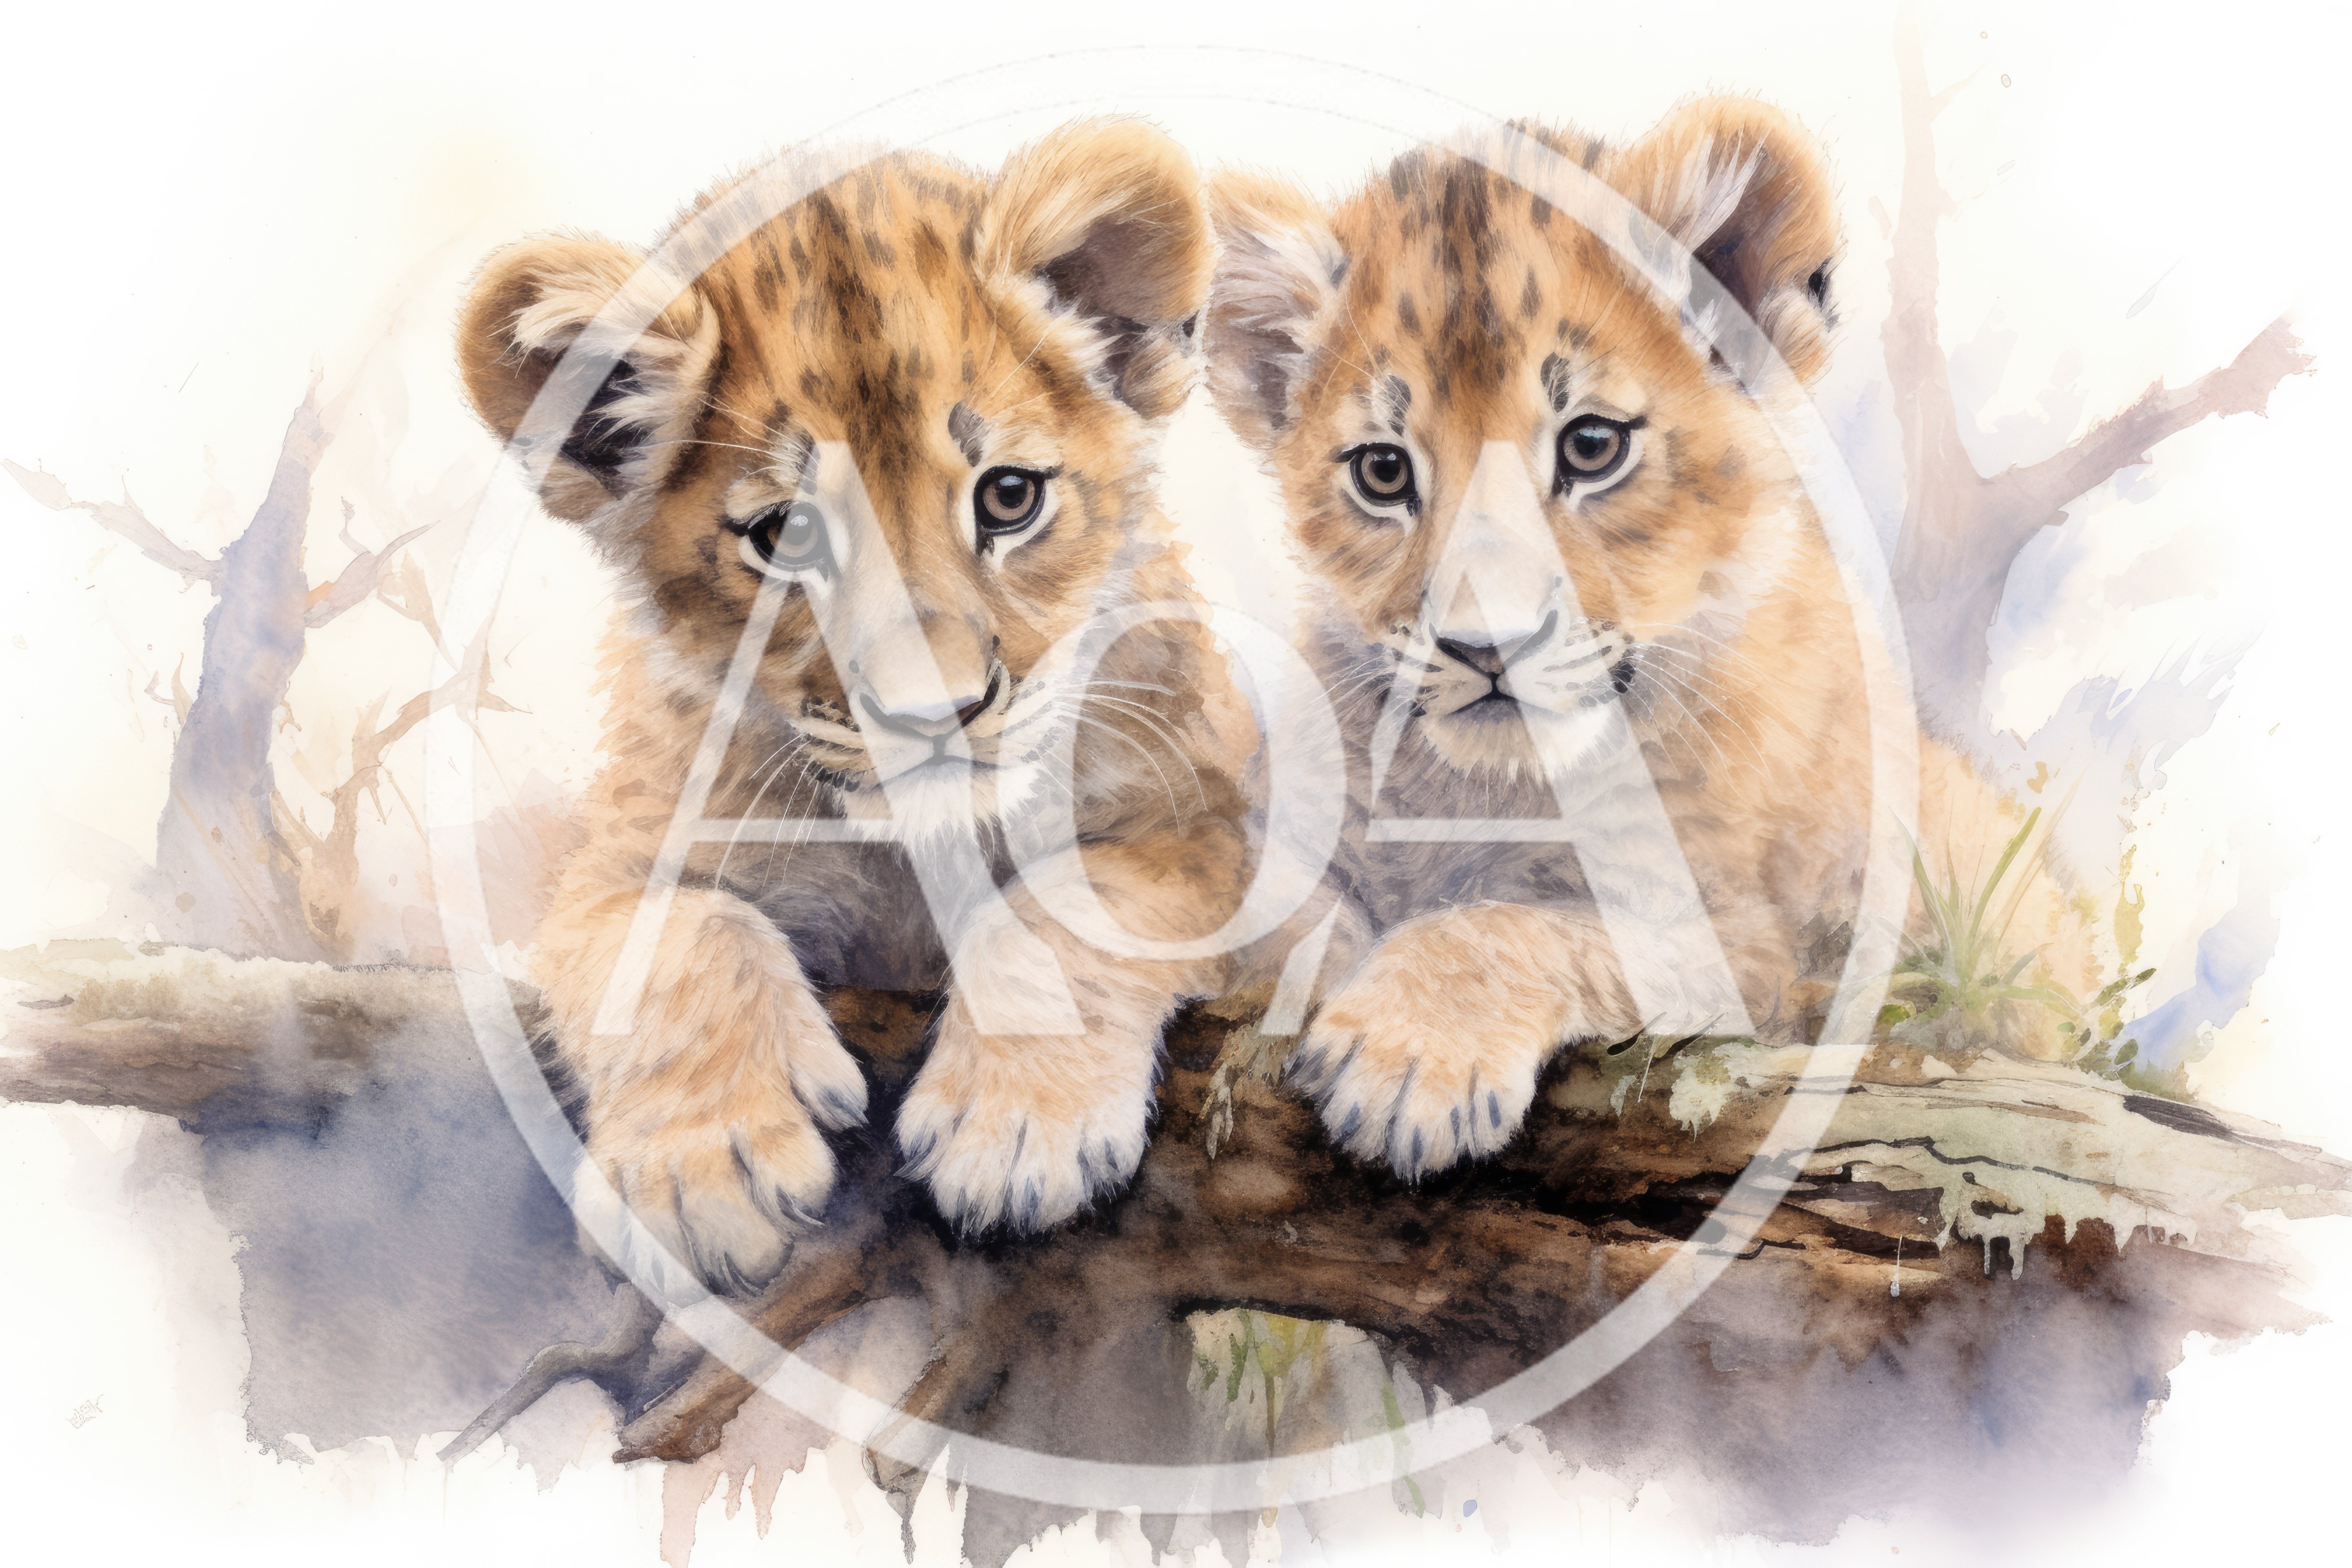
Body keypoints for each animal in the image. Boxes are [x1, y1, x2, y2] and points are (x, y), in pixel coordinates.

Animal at [456, 118, 1255, 1291]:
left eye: (1009, 498)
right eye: (785, 536)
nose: (936, 713)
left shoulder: (1218, 832)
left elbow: (1076, 899)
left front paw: (1016, 1131)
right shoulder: (609, 869)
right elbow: (679, 933)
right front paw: (703, 1173)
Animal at [1203, 99, 2099, 1180]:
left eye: (1593, 447)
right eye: (1382, 472)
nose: (1484, 647)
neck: (1485, 796)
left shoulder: (1748, 947)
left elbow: (1528, 925)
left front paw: (1405, 1054)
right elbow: (1267, 919)